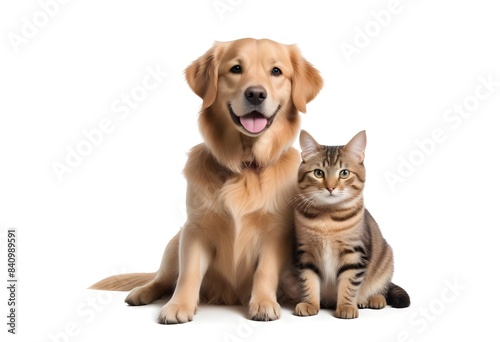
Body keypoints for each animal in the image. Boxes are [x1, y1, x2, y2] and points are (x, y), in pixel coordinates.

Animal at [90, 37, 322, 324]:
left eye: (276, 71)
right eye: (236, 69)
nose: (256, 94)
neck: (244, 166)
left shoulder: (275, 232)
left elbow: (264, 271)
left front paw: (264, 303)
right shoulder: (195, 230)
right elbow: (188, 273)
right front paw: (179, 306)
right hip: (174, 242)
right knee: (162, 279)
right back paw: (142, 292)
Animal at [292, 130, 410, 318]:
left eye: (344, 173)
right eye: (318, 173)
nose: (330, 187)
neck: (327, 218)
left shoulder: (354, 254)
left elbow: (349, 283)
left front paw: (346, 306)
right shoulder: (306, 253)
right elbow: (309, 280)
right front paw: (310, 303)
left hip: (386, 258)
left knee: (381, 288)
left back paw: (371, 299)